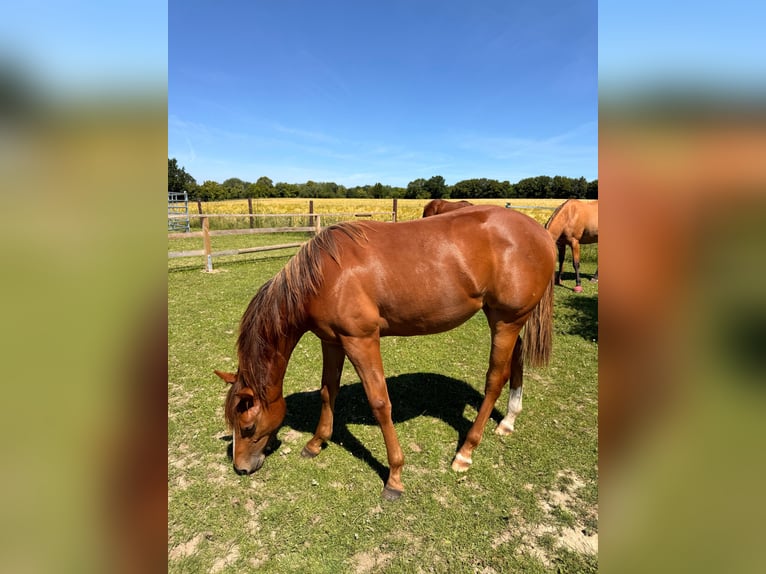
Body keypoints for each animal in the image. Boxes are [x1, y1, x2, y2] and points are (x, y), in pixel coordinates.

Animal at [214, 205, 556, 500]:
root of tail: (542, 233)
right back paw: (508, 420)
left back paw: (465, 452)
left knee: (494, 380)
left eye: (247, 426)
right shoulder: (332, 341)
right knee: (517, 360)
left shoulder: (361, 341)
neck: (325, 276)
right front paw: (315, 442)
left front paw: (395, 476)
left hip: (505, 321)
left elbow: (379, 403)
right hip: (508, 321)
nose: (240, 468)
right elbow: (328, 390)